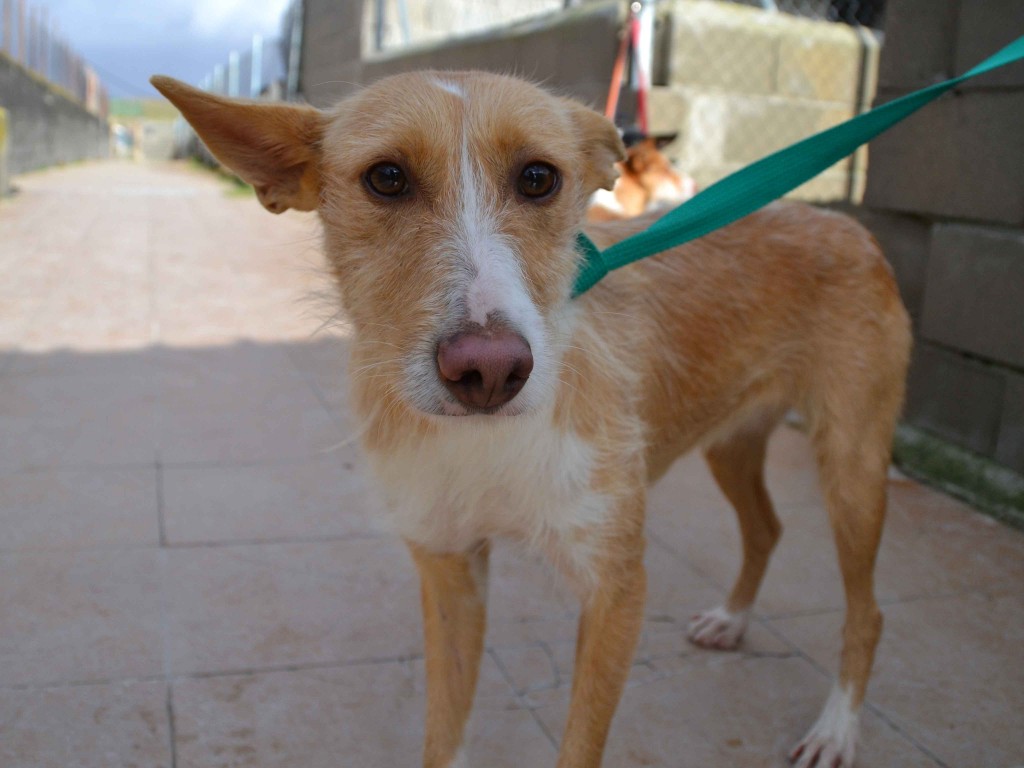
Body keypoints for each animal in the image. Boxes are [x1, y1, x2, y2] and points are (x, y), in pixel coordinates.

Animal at [153, 72, 913, 768]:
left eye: (539, 178)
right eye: (387, 178)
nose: (489, 370)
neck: (485, 441)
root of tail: (845, 222)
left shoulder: (617, 586)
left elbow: (580, 746)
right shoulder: (449, 568)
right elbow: (443, 733)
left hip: (852, 464)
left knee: (870, 612)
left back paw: (836, 730)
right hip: (731, 441)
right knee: (766, 528)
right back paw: (732, 620)